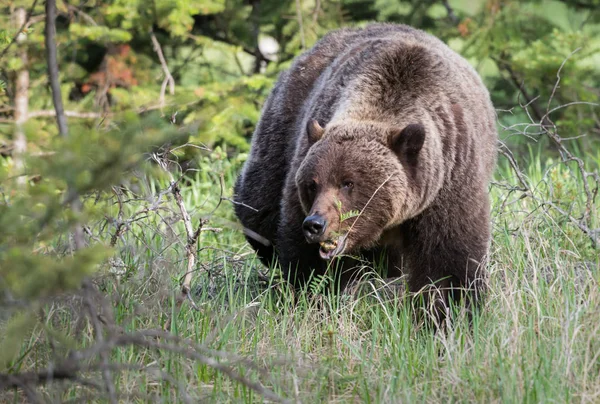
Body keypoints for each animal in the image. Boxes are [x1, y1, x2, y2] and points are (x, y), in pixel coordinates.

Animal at [234, 22, 496, 312]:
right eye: (312, 184)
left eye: (348, 183)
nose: (315, 224)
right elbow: (306, 262)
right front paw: (313, 296)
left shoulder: (448, 178)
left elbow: (448, 261)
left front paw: (449, 309)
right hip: (281, 132)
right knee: (257, 209)